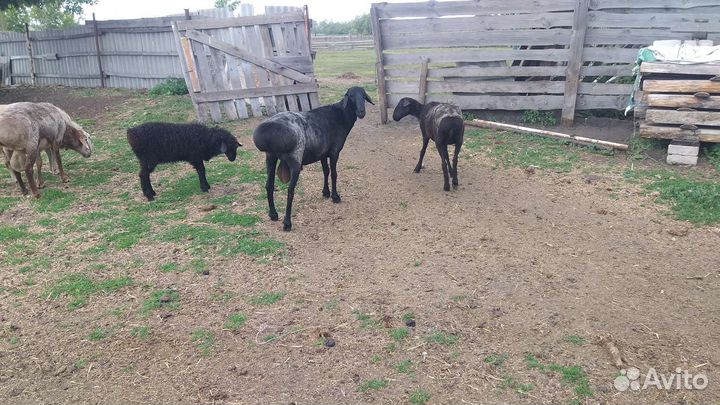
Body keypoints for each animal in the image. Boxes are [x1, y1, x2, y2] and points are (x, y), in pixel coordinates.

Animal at [253, 86, 374, 231]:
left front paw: (326, 192)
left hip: (270, 158)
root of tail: (267, 136)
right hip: (295, 159)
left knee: (268, 185)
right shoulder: (334, 152)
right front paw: (335, 197)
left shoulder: (322, 153)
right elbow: (334, 174)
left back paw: (273, 214)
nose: (361, 112)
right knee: (290, 190)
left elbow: (326, 171)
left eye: (364, 96)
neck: (341, 117)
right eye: (350, 96)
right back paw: (287, 223)